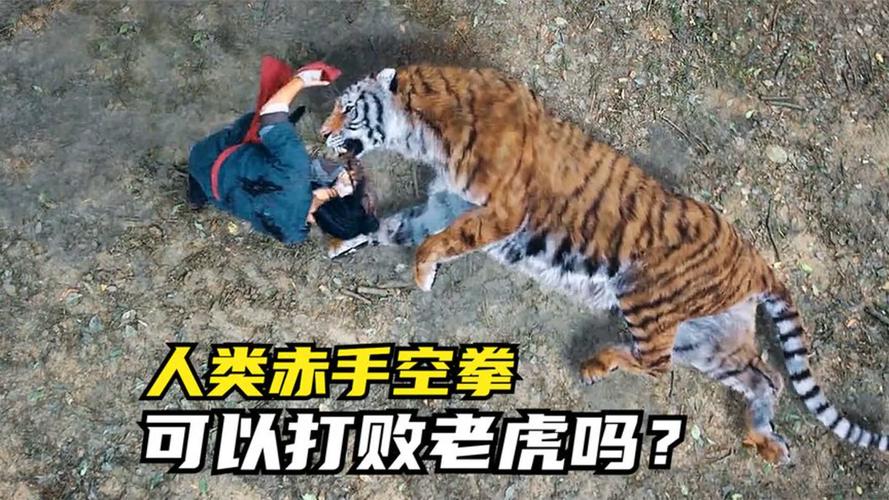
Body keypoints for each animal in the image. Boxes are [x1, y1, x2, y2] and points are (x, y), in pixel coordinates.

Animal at [319, 65, 888, 464]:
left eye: (346, 108)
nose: (321, 135)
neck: (424, 129)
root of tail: (755, 261)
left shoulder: (498, 211)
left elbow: (432, 243)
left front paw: (423, 274)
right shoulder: (446, 202)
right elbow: (400, 227)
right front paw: (346, 241)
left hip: (645, 299)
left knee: (657, 365)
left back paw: (595, 364)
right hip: (708, 340)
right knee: (765, 379)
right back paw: (764, 440)